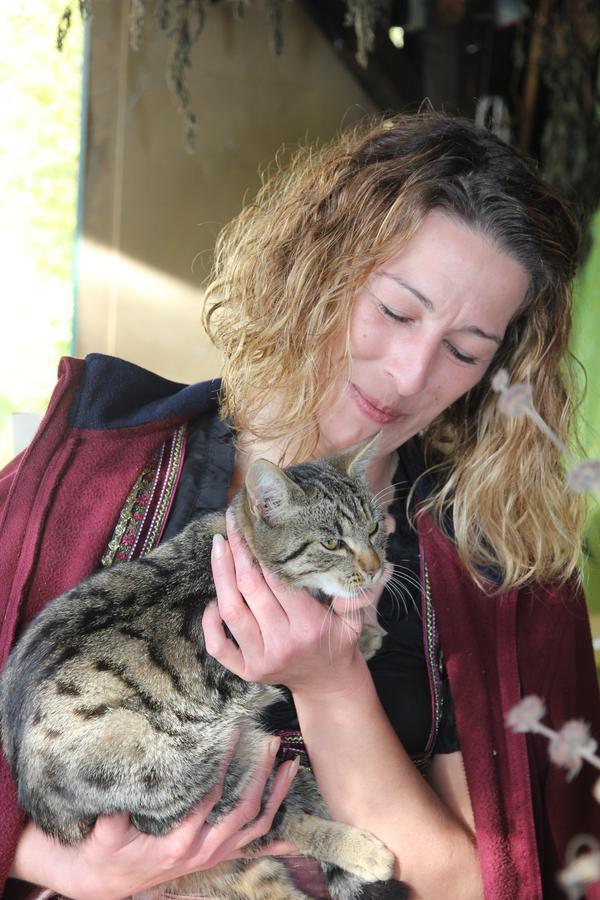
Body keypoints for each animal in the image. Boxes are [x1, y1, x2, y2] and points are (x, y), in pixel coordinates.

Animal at [0, 434, 406, 892]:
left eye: (373, 529)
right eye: (332, 543)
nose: (375, 568)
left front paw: (363, 634)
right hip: (187, 778)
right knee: (271, 816)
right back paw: (361, 851)